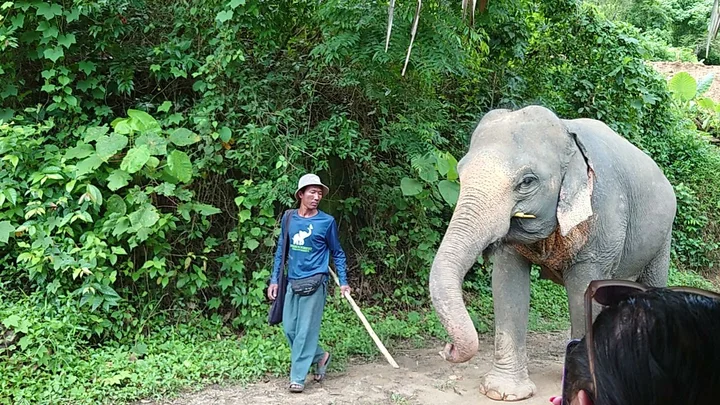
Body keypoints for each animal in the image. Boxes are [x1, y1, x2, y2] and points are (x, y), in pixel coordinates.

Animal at [428, 105, 677, 401]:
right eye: (459, 171)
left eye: (527, 181)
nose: (447, 349)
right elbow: (507, 284)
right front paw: (503, 392)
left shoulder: (602, 217)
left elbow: (583, 292)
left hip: (663, 236)